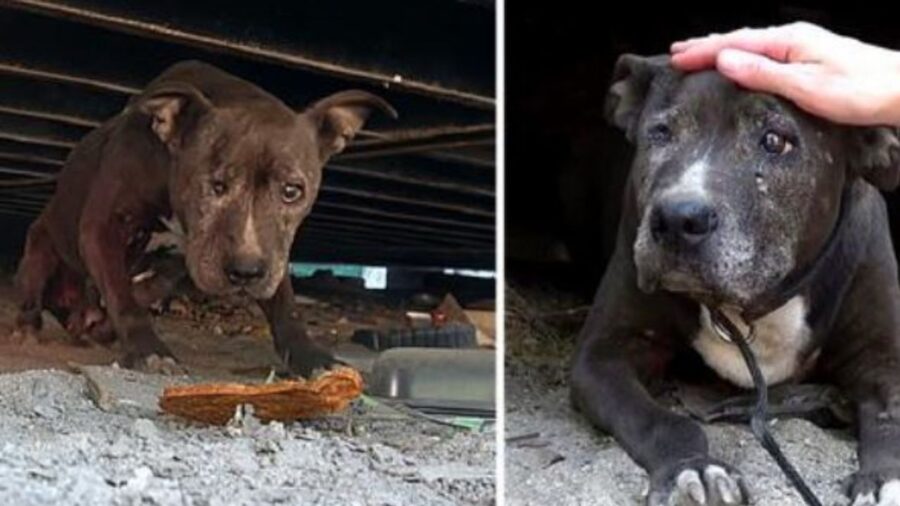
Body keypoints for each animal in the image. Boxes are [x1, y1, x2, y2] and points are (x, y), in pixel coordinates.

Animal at [9, 60, 398, 376]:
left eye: (292, 191)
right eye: (216, 185)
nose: (245, 272)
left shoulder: (269, 252)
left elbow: (285, 305)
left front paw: (312, 357)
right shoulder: (100, 229)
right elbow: (122, 295)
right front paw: (149, 350)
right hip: (39, 250)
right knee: (32, 294)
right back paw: (27, 330)